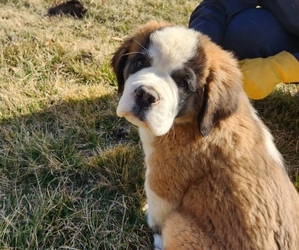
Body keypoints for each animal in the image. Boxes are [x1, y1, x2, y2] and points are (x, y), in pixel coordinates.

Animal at [110, 21, 299, 250]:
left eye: (183, 83)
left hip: (180, 225)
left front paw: (152, 224)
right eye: (139, 63)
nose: (146, 95)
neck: (196, 120)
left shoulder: (164, 177)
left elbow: (158, 207)